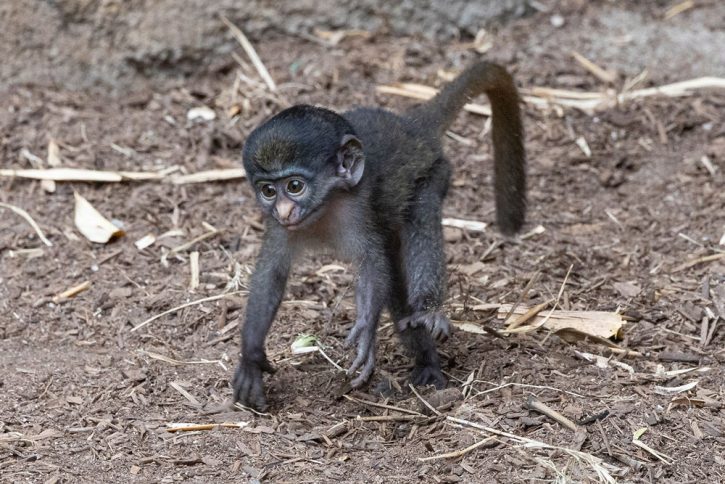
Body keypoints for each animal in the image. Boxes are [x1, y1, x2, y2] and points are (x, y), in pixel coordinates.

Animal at [235, 59, 524, 408]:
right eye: (268, 191)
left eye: (294, 186)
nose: (284, 210)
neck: (325, 208)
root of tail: (412, 126)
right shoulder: (280, 228)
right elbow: (271, 273)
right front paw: (251, 356)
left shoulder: (359, 209)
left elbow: (372, 264)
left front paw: (366, 331)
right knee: (396, 285)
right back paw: (426, 359)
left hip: (435, 173)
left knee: (419, 224)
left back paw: (428, 323)